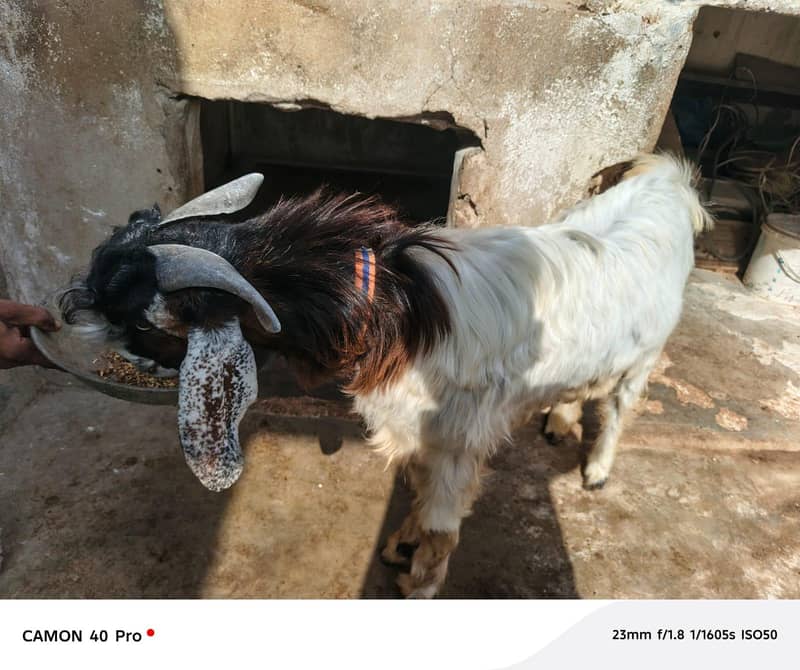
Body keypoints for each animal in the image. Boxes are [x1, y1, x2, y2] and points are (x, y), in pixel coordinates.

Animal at [61, 153, 711, 597]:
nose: (73, 314)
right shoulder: (414, 428)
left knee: (621, 405)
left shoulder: (457, 440)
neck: (396, 312)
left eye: (142, 321)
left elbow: (444, 524)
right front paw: (401, 543)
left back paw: (596, 471)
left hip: (647, 354)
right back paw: (559, 420)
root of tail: (669, 182)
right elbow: (418, 490)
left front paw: (419, 582)